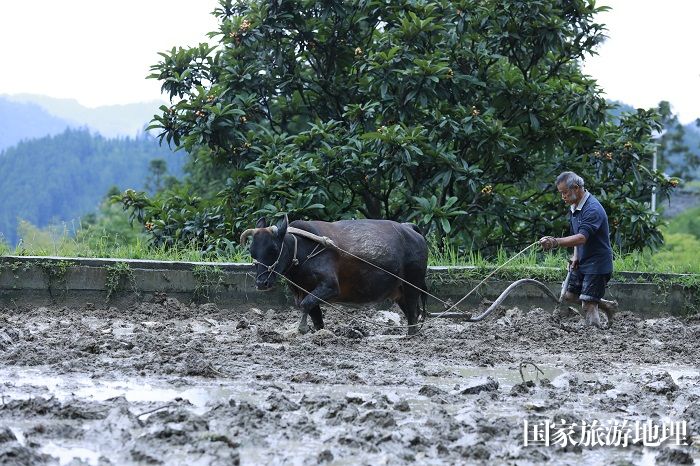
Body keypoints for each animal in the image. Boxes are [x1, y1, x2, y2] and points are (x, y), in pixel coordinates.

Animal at [241, 217, 426, 334]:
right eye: (252, 251)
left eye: (273, 249)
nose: (261, 283)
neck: (301, 251)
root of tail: (409, 228)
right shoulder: (305, 291)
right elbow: (315, 315)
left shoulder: (330, 286)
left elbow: (306, 304)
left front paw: (301, 329)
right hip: (400, 291)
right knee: (413, 313)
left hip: (412, 285)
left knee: (413, 313)